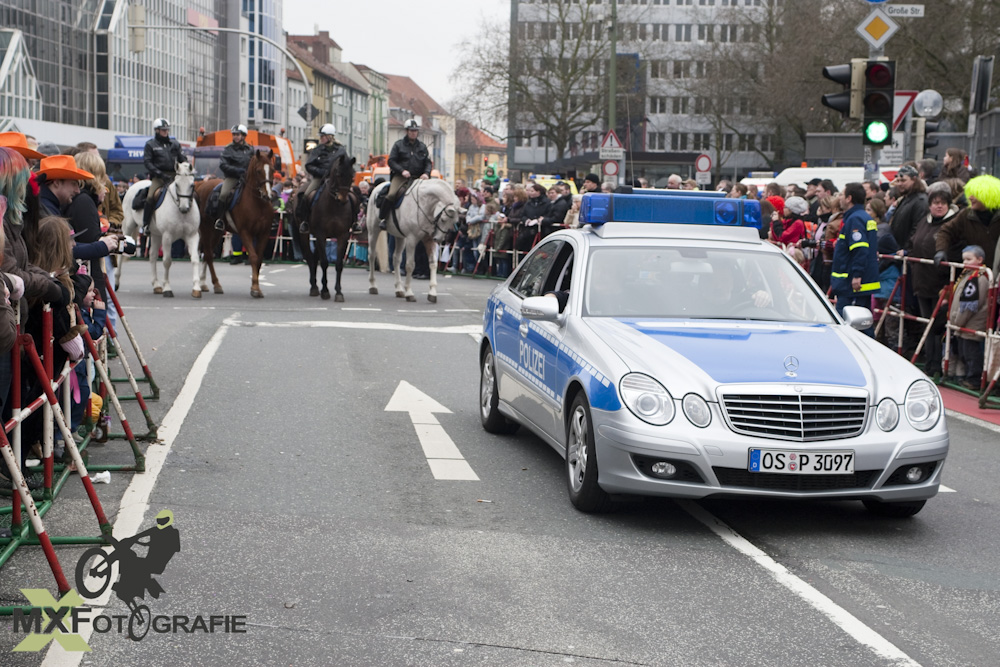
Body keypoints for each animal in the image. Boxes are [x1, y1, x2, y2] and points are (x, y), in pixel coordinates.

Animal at [118, 162, 202, 298]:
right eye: (177, 184)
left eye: (192, 185)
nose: (184, 208)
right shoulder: (167, 236)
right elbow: (167, 261)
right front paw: (167, 288)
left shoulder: (192, 236)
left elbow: (195, 259)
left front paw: (196, 288)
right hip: (128, 227)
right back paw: (116, 281)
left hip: (156, 235)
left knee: (152, 256)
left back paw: (156, 285)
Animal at [195, 151, 276, 300]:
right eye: (258, 171)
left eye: (272, 170)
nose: (267, 195)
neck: (258, 203)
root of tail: (201, 184)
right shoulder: (245, 233)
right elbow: (253, 257)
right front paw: (255, 288)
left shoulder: (264, 234)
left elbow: (259, 259)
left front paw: (256, 287)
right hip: (206, 229)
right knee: (208, 254)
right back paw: (216, 284)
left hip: (217, 233)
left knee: (207, 254)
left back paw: (204, 283)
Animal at [290, 153, 360, 302]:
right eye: (338, 174)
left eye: (352, 176)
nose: (343, 199)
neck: (334, 206)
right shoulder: (321, 235)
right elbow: (324, 263)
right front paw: (325, 291)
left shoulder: (342, 236)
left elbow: (338, 264)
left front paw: (338, 292)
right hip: (305, 235)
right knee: (310, 258)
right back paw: (314, 287)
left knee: (315, 257)